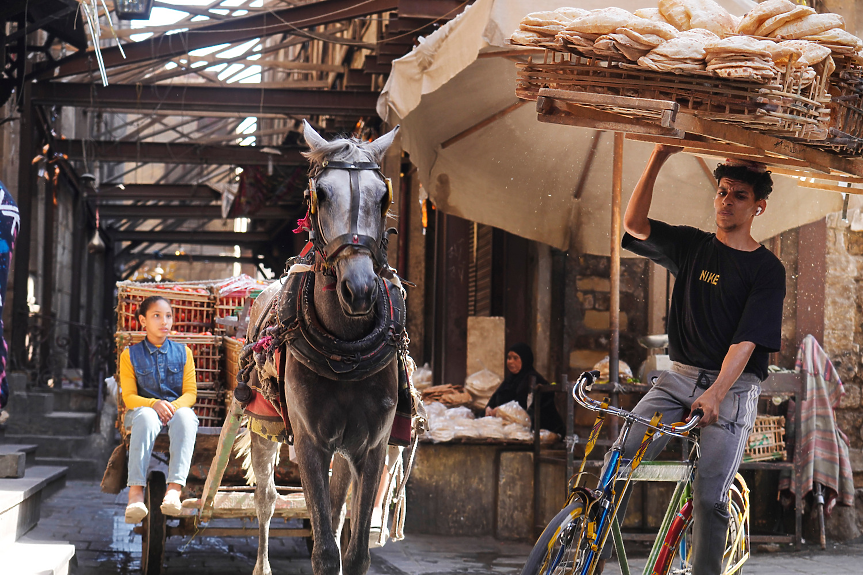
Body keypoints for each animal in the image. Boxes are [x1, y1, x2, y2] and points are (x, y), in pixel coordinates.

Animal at [246, 121, 402, 575]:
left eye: (383, 196)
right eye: (322, 194)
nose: (360, 289)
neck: (345, 352)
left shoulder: (372, 447)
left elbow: (353, 550)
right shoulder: (310, 442)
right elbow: (324, 552)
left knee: (332, 512)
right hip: (263, 427)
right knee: (265, 501)